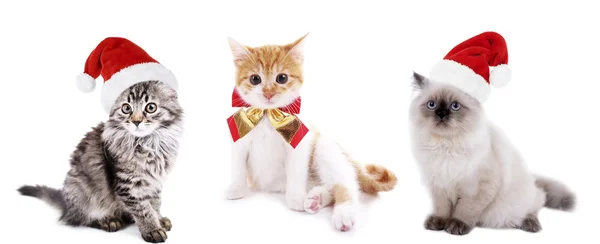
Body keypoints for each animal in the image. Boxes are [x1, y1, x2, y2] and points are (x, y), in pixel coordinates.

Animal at [18, 81, 183, 242]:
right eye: (126, 108)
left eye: (150, 107)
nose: (136, 121)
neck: (149, 144)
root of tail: (68, 207)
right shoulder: (128, 185)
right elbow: (143, 209)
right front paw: (152, 229)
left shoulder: (154, 183)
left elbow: (155, 203)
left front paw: (159, 220)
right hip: (81, 190)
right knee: (83, 218)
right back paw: (107, 221)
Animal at [223, 33, 396, 231]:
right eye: (255, 79)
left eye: (281, 78)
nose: (268, 93)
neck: (268, 116)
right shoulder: (238, 138)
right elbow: (237, 166)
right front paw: (237, 187)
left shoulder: (300, 143)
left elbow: (296, 171)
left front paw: (296, 198)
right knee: (330, 187)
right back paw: (316, 199)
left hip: (324, 149)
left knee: (346, 184)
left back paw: (344, 212)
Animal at [410, 72, 576, 234]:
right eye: (432, 104)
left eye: (455, 106)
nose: (441, 114)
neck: (446, 145)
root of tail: (532, 179)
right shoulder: (438, 184)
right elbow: (442, 209)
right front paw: (439, 222)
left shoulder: (478, 187)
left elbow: (465, 209)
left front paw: (456, 224)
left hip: (520, 201)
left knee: (534, 206)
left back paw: (530, 225)